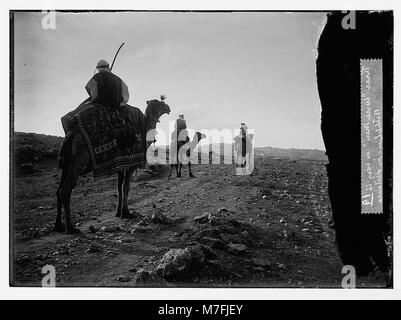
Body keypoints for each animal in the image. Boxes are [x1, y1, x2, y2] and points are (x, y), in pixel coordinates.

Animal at [55, 99, 170, 234]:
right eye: (159, 103)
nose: (168, 108)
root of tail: (70, 135)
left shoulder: (120, 165)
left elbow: (119, 187)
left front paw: (118, 212)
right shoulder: (131, 165)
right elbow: (126, 187)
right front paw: (126, 213)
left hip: (65, 166)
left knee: (58, 191)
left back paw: (58, 225)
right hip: (77, 164)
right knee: (65, 190)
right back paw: (70, 228)